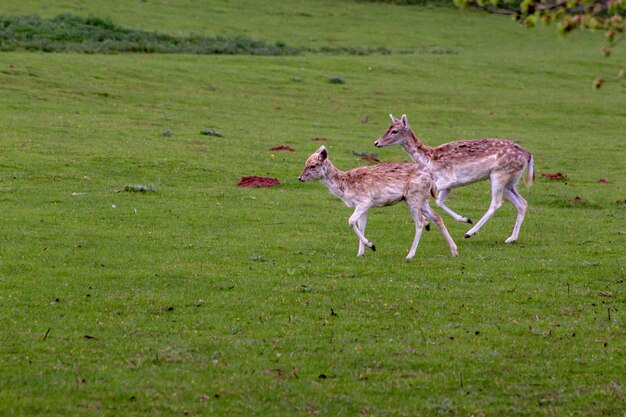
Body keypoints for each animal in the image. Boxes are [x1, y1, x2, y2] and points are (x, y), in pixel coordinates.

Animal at [296, 145, 454, 256]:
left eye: (313, 165)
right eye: (305, 163)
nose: (300, 178)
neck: (346, 186)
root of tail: (431, 177)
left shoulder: (364, 201)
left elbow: (351, 221)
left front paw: (371, 245)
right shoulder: (364, 205)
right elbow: (361, 225)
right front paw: (360, 253)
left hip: (413, 197)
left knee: (420, 221)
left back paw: (410, 255)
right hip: (422, 199)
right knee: (436, 217)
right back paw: (454, 250)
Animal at [372, 114, 532, 244]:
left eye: (394, 131)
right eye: (388, 127)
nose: (377, 143)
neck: (429, 160)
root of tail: (528, 155)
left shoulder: (449, 179)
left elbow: (435, 200)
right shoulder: (447, 185)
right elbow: (439, 202)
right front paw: (465, 219)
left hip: (499, 174)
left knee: (496, 203)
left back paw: (470, 233)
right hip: (510, 181)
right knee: (522, 203)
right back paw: (511, 238)